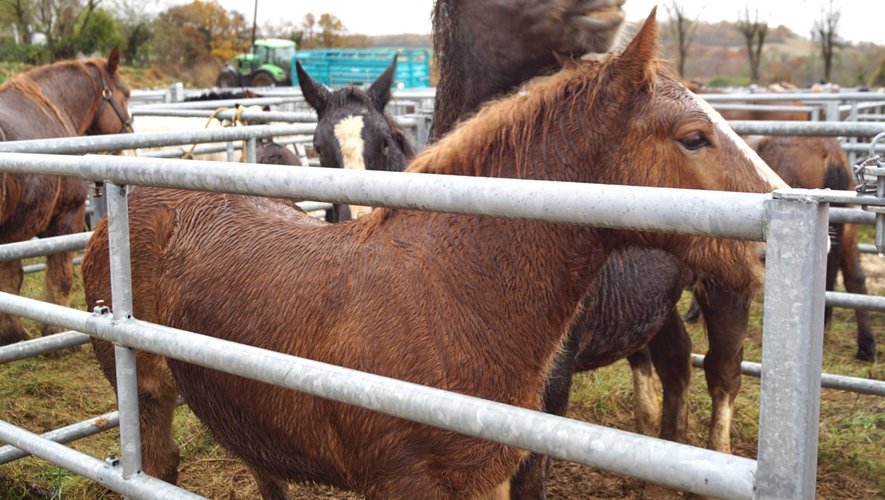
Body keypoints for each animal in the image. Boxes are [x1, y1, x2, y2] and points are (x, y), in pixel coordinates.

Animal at [0, 48, 131, 350]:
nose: (130, 136)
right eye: (127, 94)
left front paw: (12, 335)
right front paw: (56, 335)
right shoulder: (67, 217)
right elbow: (60, 277)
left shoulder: (13, 231)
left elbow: (9, 280)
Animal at [81, 14, 788, 496]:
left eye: (389, 141)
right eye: (694, 137)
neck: (449, 288)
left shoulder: (491, 473)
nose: (767, 249)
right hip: (148, 395)